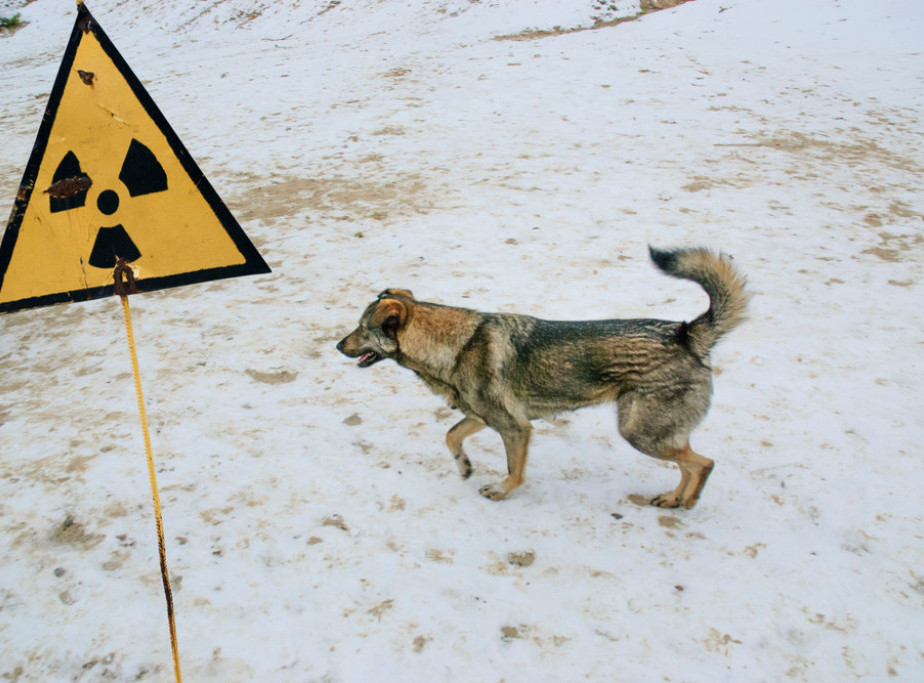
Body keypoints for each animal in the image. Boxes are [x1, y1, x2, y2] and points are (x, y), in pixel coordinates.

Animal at [336, 248, 748, 510]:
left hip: (641, 432)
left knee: (703, 463)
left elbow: (514, 471)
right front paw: (464, 466)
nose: (338, 345)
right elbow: (451, 435)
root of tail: (686, 333)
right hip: (657, 432)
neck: (456, 344)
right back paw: (675, 498)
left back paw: (688, 501)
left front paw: (501, 491)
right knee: (689, 462)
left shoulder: (515, 427)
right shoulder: (483, 416)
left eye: (361, 328)